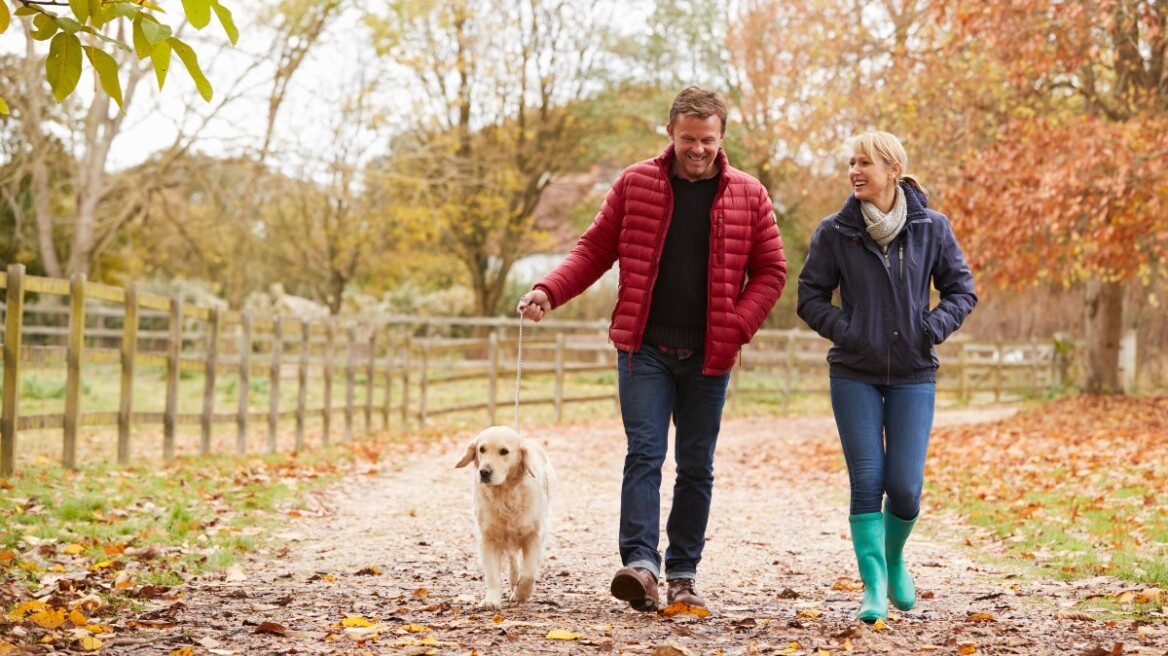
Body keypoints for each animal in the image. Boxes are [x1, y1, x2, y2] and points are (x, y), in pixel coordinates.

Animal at [453, 424, 553, 606]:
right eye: (482, 449)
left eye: (504, 451)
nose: (484, 472)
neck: (506, 492)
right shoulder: (488, 538)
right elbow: (492, 576)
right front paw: (491, 600)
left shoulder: (534, 535)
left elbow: (529, 573)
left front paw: (522, 594)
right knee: (513, 562)